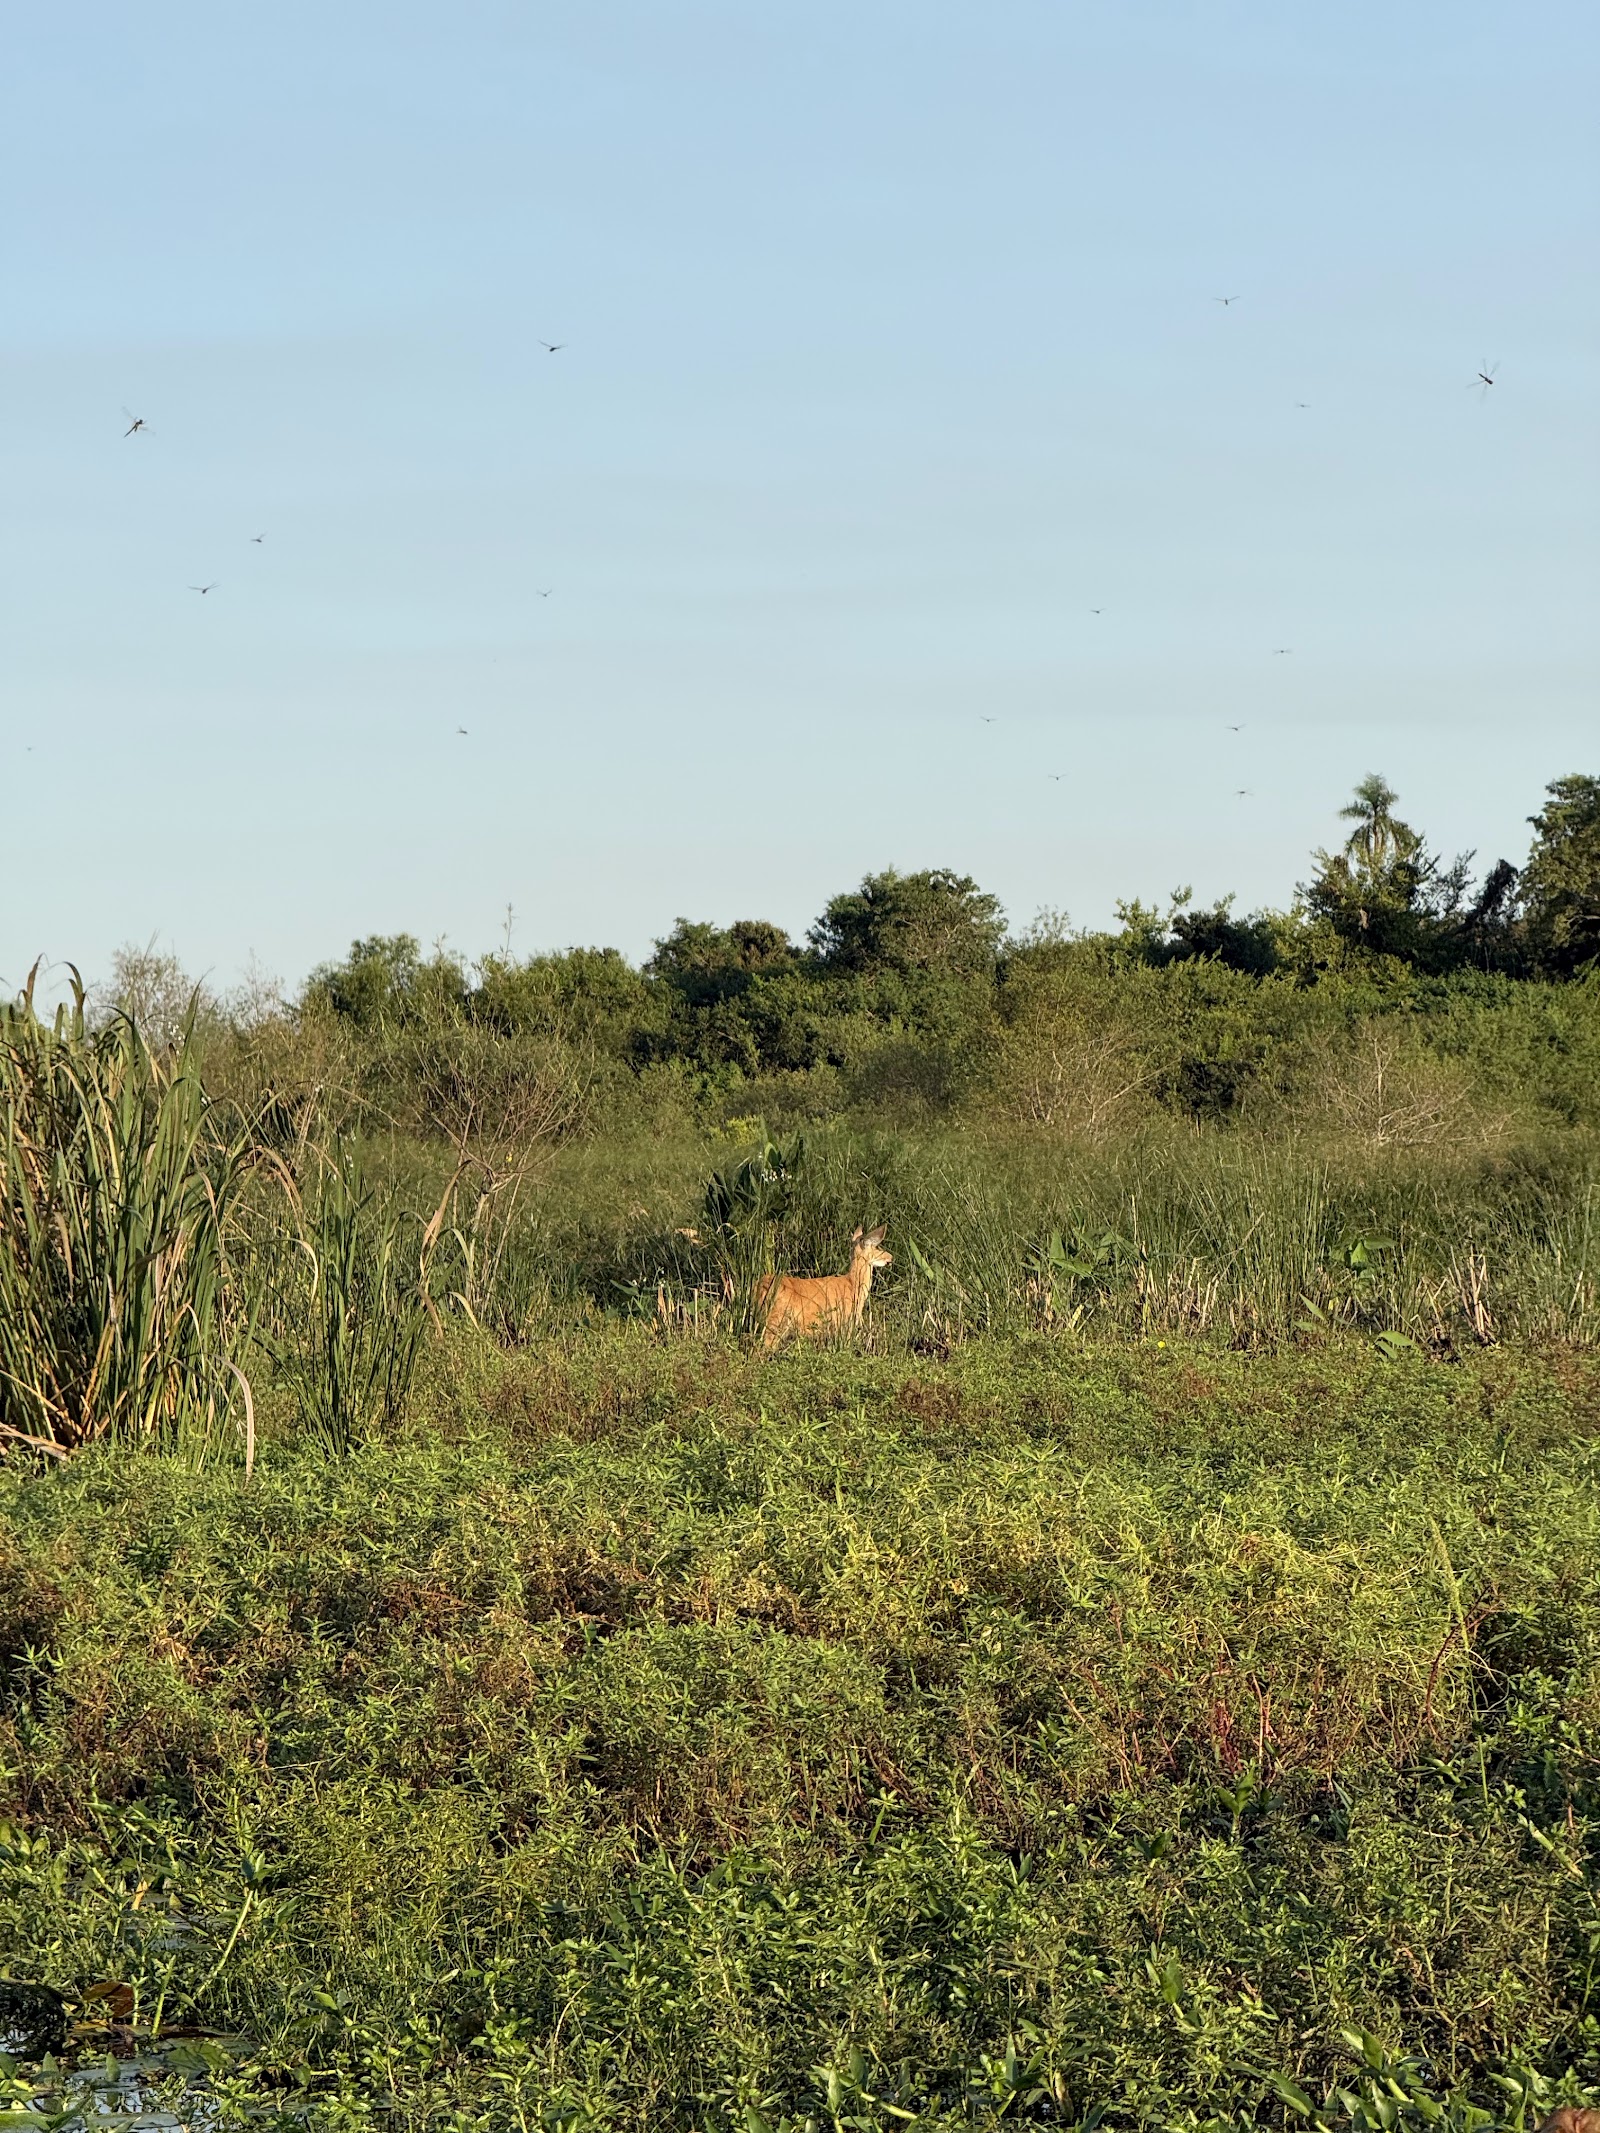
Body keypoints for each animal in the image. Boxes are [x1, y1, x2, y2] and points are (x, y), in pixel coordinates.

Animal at [754, 1226, 892, 1351]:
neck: (853, 1286)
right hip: (775, 1320)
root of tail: (761, 1287)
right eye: (877, 1247)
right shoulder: (845, 1323)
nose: (890, 1257)